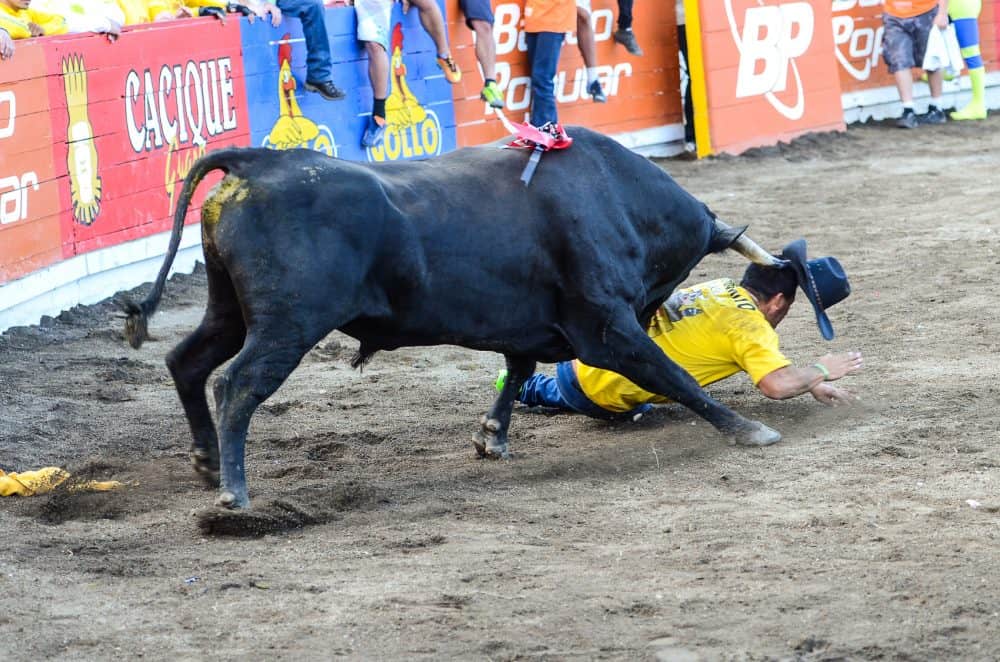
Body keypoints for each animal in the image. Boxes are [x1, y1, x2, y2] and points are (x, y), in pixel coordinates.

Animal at [123, 127, 780, 510]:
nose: (664, 310)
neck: (619, 197)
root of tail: (257, 162)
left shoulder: (535, 328)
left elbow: (516, 372)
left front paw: (492, 438)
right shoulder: (605, 327)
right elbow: (672, 373)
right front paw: (747, 428)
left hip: (230, 309)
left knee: (188, 361)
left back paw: (209, 464)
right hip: (288, 324)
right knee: (238, 385)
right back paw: (234, 491)